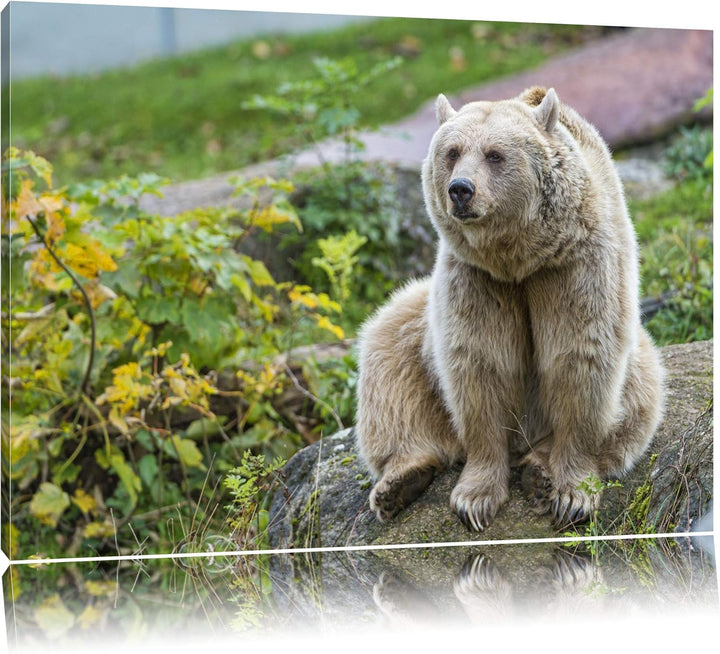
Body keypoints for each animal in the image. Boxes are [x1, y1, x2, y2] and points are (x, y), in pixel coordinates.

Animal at [355, 86, 665, 531]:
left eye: (495, 154)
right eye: (452, 152)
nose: (460, 189)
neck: (519, 257)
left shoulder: (575, 267)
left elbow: (580, 358)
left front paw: (572, 495)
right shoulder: (477, 280)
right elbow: (479, 364)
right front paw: (475, 498)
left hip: (639, 358)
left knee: (638, 397)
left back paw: (539, 470)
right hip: (415, 321)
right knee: (388, 362)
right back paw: (400, 482)